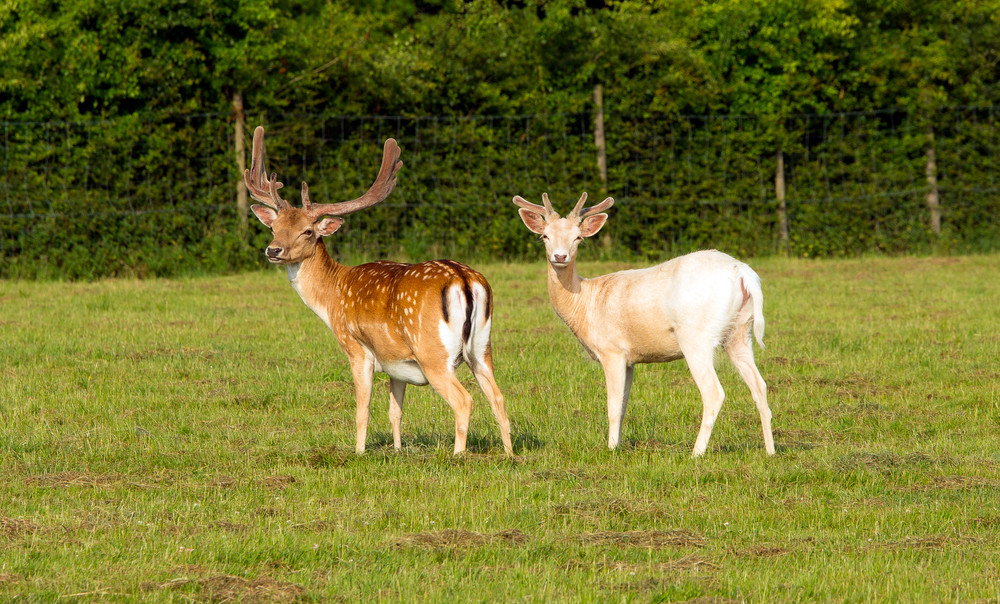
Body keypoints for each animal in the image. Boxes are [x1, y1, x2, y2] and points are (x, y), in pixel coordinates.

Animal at [245, 127, 512, 458]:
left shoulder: (356, 348)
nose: (273, 250)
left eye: (308, 231)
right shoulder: (397, 363)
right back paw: (510, 455)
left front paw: (359, 452)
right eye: (274, 227)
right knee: (498, 397)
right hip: (482, 348)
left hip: (433, 353)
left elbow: (363, 408)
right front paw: (397, 450)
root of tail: (464, 280)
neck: (332, 296)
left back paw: (457, 456)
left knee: (464, 400)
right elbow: (395, 410)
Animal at [512, 191, 776, 456]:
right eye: (545, 235)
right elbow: (623, 405)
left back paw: (696, 453)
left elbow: (613, 405)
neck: (585, 303)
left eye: (578, 237)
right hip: (740, 331)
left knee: (714, 392)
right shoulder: (630, 360)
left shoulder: (612, 350)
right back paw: (770, 451)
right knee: (760, 386)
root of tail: (743, 273)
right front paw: (618, 444)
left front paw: (611, 449)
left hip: (696, 336)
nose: (560, 256)